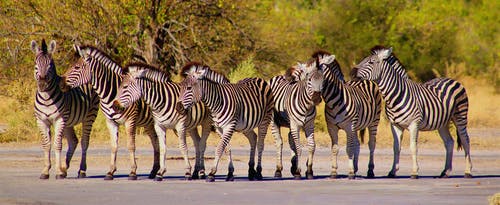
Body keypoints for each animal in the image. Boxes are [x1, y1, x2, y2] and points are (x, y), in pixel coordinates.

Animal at [30, 39, 99, 179]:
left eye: (50, 65)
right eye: (36, 64)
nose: (42, 84)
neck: (46, 98)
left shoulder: (59, 119)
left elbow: (58, 144)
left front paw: (57, 171)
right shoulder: (41, 121)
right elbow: (46, 145)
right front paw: (46, 171)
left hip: (89, 115)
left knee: (84, 142)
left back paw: (81, 170)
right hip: (68, 122)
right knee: (73, 141)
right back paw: (64, 168)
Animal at [58, 45, 161, 181]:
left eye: (76, 67)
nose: (60, 84)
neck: (111, 93)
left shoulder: (130, 121)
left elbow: (131, 145)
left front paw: (133, 172)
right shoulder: (111, 122)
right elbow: (113, 146)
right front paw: (110, 172)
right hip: (148, 124)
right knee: (156, 142)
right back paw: (154, 171)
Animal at [352, 46, 472, 178]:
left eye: (371, 62)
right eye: (363, 60)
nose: (352, 72)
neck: (396, 96)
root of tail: (452, 80)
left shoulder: (414, 124)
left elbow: (413, 147)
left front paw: (414, 172)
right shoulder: (395, 125)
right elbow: (396, 147)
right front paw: (392, 171)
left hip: (460, 117)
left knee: (465, 140)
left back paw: (468, 171)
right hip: (442, 123)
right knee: (449, 142)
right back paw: (445, 171)